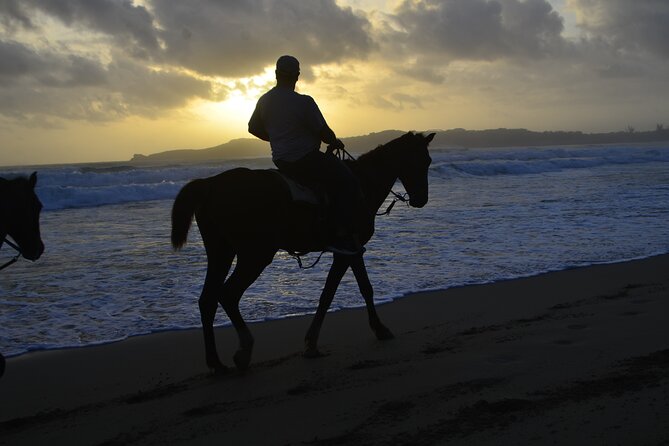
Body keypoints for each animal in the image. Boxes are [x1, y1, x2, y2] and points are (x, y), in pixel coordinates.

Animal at [171, 132, 434, 372]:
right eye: (423, 161)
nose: (421, 199)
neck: (362, 185)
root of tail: (210, 184)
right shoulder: (348, 251)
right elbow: (337, 293)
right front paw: (316, 342)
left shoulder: (350, 251)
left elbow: (352, 290)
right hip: (256, 255)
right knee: (227, 294)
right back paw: (244, 350)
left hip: (221, 252)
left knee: (207, 300)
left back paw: (215, 362)